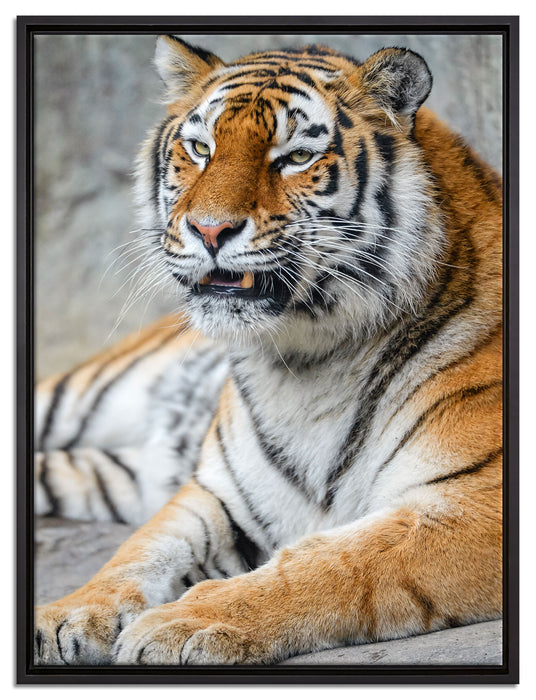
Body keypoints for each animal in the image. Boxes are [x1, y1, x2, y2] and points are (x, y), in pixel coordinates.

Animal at [33, 36, 503, 666]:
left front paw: (182, 624)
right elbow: (140, 550)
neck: (309, 361)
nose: (209, 230)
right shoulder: (217, 493)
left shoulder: (477, 503)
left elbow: (333, 562)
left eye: (296, 156)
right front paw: (65, 614)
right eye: (200, 148)